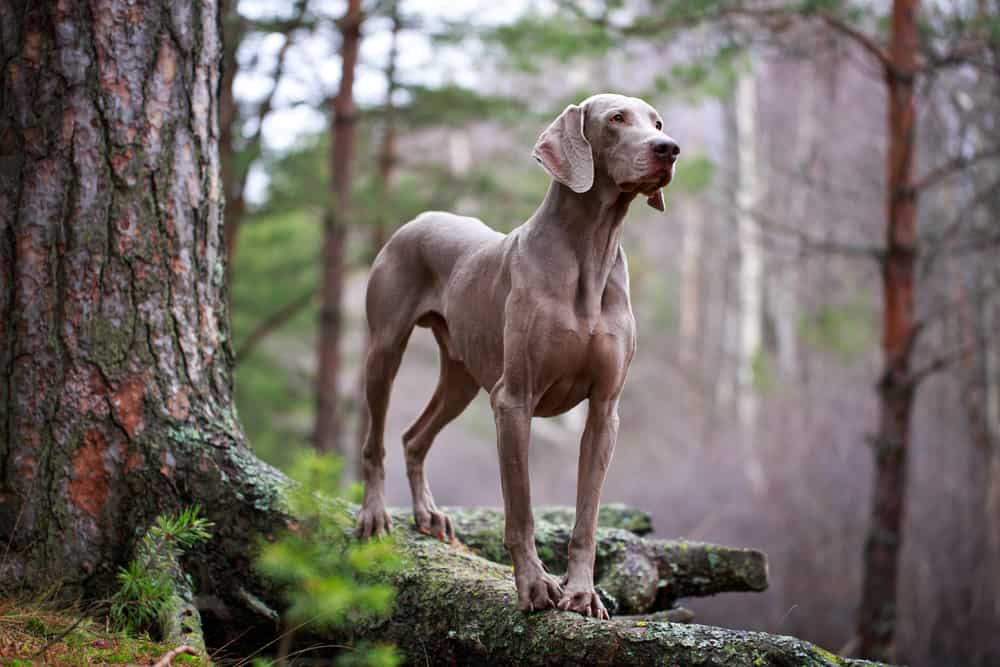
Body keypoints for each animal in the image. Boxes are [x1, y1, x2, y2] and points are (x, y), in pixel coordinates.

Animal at [354, 94, 680, 620]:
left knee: (413, 436)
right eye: (616, 119)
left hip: (462, 377)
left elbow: (586, 517)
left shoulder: (604, 412)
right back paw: (375, 514)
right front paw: (534, 586)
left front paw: (582, 593)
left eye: (657, 121)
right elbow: (520, 511)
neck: (590, 251)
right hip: (385, 349)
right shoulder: (514, 401)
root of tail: (419, 218)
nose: (669, 148)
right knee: (376, 440)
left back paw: (428, 514)